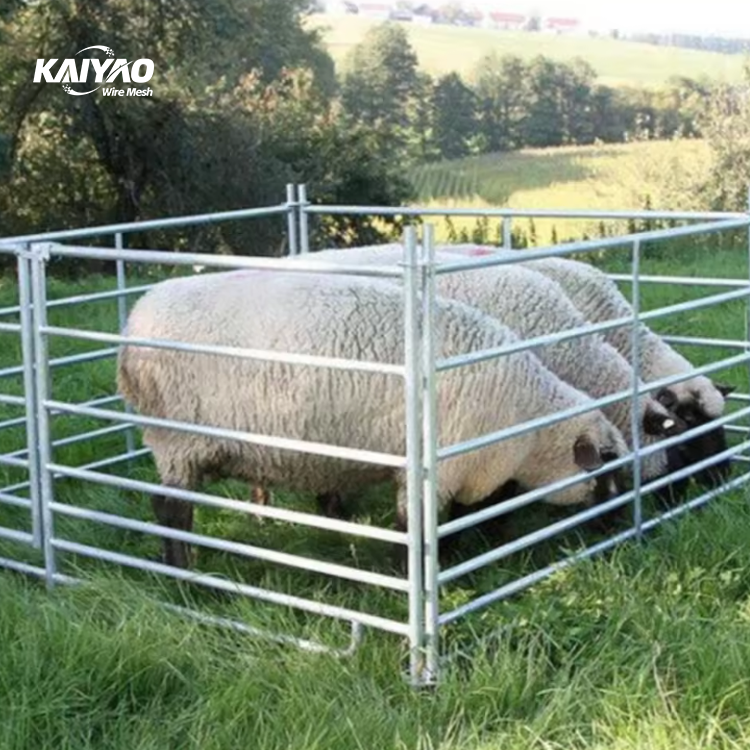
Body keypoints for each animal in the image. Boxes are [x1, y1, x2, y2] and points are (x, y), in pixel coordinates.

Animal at [118, 270, 628, 568]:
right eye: (606, 470)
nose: (620, 531)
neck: (528, 420)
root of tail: (133, 323)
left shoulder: (472, 467)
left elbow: (467, 513)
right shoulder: (440, 468)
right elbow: (418, 530)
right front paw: (428, 570)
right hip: (177, 440)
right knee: (170, 509)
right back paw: (181, 572)